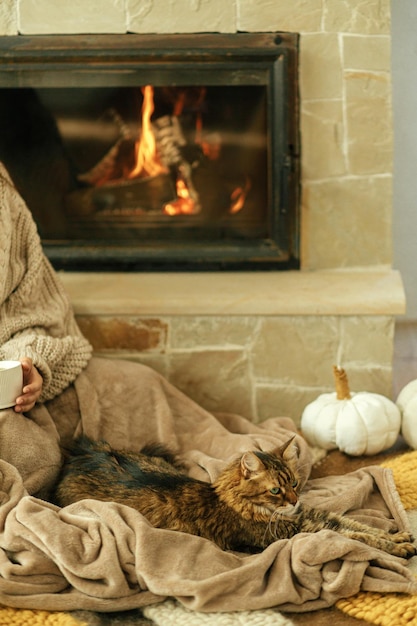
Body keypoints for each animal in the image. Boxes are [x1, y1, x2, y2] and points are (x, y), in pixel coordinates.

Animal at [53, 434, 414, 556]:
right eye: (275, 490)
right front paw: (400, 548)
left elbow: (364, 527)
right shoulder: (303, 531)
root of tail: (83, 452)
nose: (294, 500)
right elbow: (361, 538)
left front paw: (400, 536)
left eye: (295, 484)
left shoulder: (317, 519)